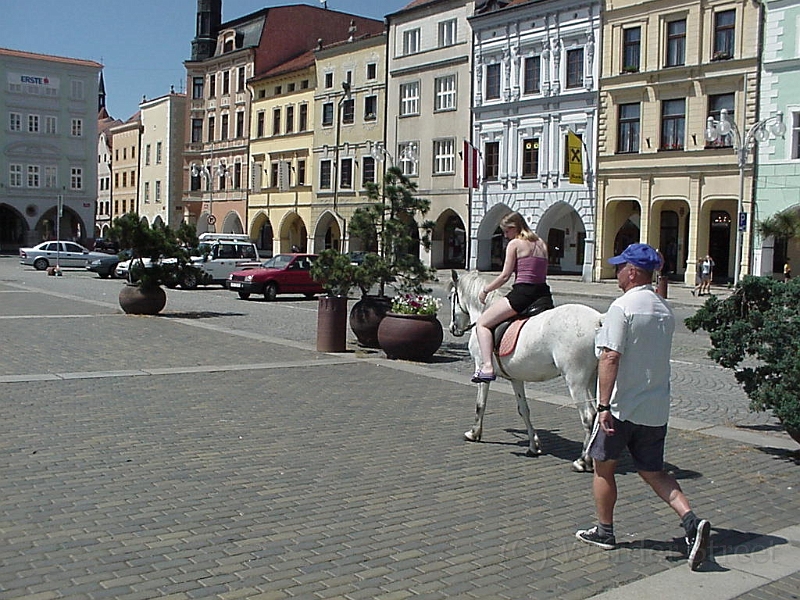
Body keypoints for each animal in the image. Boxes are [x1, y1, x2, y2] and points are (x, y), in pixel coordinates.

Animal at [446, 270, 604, 472]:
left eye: (451, 297)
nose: (453, 328)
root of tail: (598, 320)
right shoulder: (516, 378)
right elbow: (524, 410)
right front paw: (533, 445)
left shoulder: (481, 371)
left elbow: (480, 404)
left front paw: (474, 433)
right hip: (594, 379)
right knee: (598, 415)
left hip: (575, 381)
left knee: (588, 416)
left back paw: (583, 460)